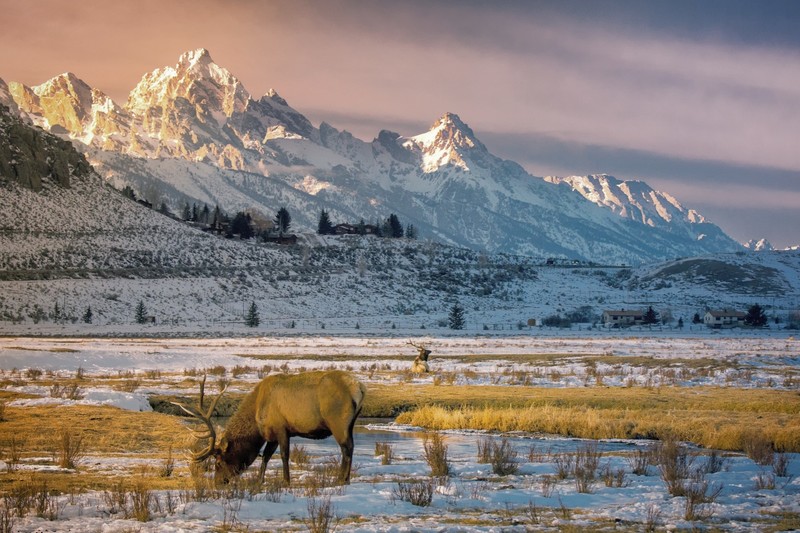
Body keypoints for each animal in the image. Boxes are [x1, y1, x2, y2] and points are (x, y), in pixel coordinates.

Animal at [172, 370, 366, 485]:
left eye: (218, 462)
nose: (217, 483)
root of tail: (359, 388)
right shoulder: (272, 434)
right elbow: (265, 456)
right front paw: (259, 481)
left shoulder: (281, 428)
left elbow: (284, 455)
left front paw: (286, 481)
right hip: (350, 423)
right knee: (351, 447)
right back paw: (346, 479)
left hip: (337, 421)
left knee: (346, 449)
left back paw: (341, 479)